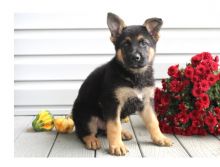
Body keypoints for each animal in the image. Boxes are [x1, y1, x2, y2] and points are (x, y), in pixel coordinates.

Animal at [72, 12, 172, 156]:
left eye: (144, 43)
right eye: (126, 44)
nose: (136, 58)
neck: (135, 76)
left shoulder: (146, 102)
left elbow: (153, 121)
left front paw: (160, 138)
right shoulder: (112, 103)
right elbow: (114, 126)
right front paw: (117, 146)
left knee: (105, 129)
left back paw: (123, 133)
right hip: (86, 114)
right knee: (83, 132)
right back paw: (91, 139)